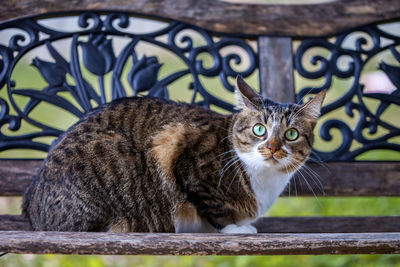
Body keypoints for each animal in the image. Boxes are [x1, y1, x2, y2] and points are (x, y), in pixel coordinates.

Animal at [21, 76, 326, 233]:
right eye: (259, 129)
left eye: (291, 134)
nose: (273, 147)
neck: (263, 180)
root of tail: (31, 209)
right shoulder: (176, 144)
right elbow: (214, 207)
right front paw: (235, 229)